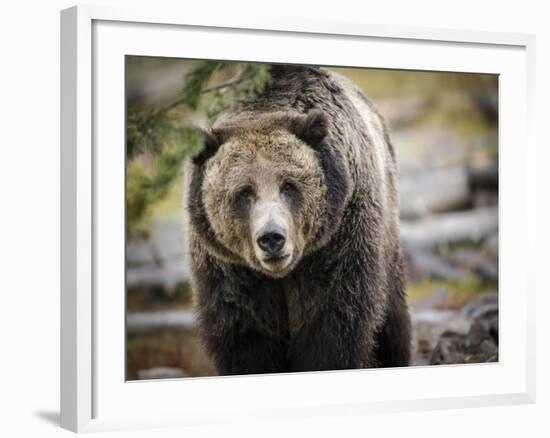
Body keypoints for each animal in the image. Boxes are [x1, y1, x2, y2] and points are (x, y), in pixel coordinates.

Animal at [183, 63, 412, 374]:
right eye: (244, 192)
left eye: (289, 185)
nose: (272, 238)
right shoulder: (229, 270)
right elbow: (246, 337)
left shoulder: (338, 243)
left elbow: (332, 326)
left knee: (392, 321)